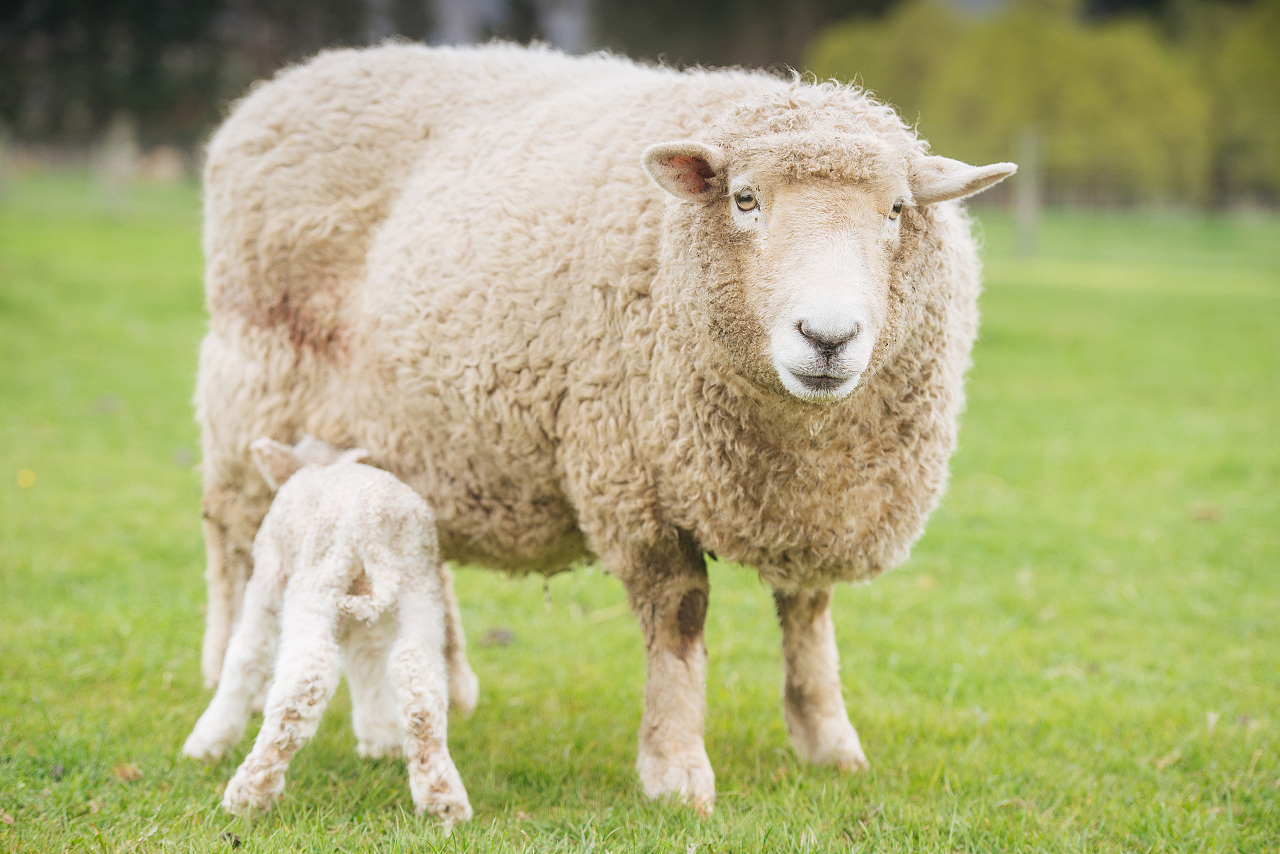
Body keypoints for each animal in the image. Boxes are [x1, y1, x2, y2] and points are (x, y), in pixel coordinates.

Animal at [183, 437, 473, 824]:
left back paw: (249, 793)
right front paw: (380, 739)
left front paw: (208, 740)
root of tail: (372, 524)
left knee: (305, 677)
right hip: (418, 587)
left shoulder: (268, 577)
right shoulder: (363, 610)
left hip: (317, 580)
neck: (318, 465)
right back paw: (443, 798)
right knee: (416, 676)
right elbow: (366, 659)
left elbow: (245, 655)